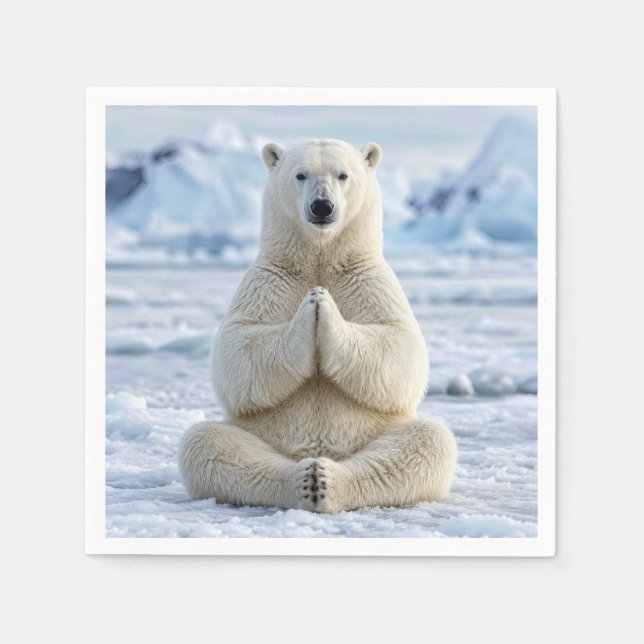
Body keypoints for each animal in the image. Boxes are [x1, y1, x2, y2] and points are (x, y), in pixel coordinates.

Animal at [179, 138, 457, 513]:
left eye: (342, 174)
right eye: (301, 174)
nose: (322, 206)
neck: (320, 257)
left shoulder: (369, 280)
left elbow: (400, 350)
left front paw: (325, 308)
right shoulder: (268, 280)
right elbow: (237, 351)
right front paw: (310, 306)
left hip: (377, 431)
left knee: (427, 442)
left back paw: (324, 480)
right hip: (262, 433)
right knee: (206, 443)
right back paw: (303, 480)